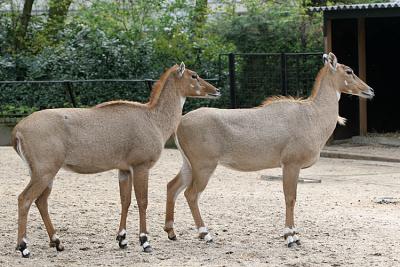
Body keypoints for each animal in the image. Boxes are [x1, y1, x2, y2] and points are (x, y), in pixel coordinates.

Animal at [11, 62, 219, 258]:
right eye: (194, 75)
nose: (216, 90)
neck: (153, 119)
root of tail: (18, 130)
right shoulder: (141, 166)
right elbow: (142, 201)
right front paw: (145, 241)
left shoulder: (124, 170)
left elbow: (125, 201)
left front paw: (122, 239)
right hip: (44, 172)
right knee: (24, 199)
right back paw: (24, 247)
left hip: (45, 173)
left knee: (41, 202)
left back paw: (57, 242)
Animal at [164, 53, 374, 248]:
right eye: (349, 71)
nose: (370, 90)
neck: (312, 116)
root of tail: (180, 123)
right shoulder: (291, 164)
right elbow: (290, 197)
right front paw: (290, 236)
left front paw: (293, 234)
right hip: (204, 166)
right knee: (191, 194)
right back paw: (205, 234)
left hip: (189, 164)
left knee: (172, 186)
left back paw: (171, 232)